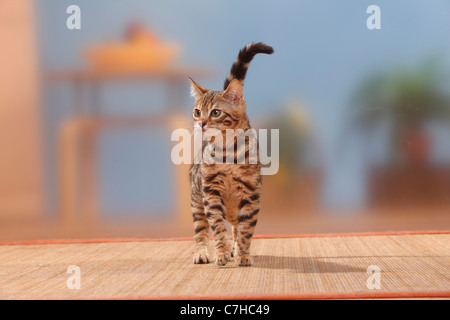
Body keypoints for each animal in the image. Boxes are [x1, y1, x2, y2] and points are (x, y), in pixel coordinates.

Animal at [187, 42, 272, 268]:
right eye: (197, 112)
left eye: (216, 112)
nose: (201, 123)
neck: (227, 153)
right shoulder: (210, 193)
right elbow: (217, 227)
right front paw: (221, 252)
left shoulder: (251, 195)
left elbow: (246, 231)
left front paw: (242, 253)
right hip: (197, 200)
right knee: (201, 230)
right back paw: (202, 253)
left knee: (236, 225)